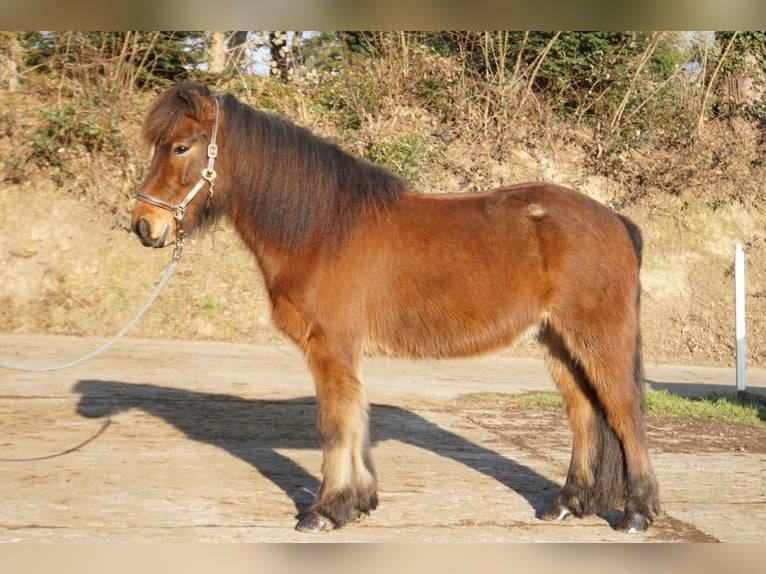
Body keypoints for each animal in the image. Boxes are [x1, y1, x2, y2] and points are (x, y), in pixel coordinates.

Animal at [130, 81, 660, 536]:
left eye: (180, 147)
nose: (144, 225)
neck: (322, 227)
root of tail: (614, 219)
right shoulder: (340, 351)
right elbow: (354, 420)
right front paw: (359, 502)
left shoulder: (331, 346)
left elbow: (334, 424)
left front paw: (326, 510)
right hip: (557, 342)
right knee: (585, 414)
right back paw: (568, 503)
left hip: (598, 339)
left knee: (625, 412)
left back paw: (637, 513)